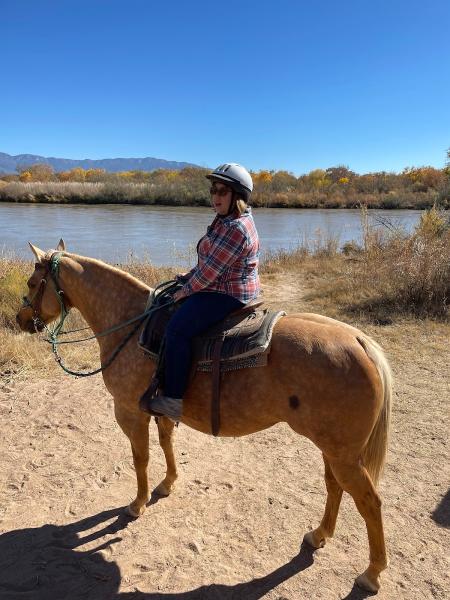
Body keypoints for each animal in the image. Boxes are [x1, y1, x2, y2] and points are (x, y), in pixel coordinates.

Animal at [15, 241, 392, 592]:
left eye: (33, 282)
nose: (21, 320)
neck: (132, 325)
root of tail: (359, 340)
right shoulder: (159, 409)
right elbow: (166, 442)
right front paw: (167, 484)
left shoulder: (128, 411)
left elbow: (140, 458)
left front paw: (137, 504)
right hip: (333, 450)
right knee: (334, 486)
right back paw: (319, 534)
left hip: (344, 456)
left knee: (370, 502)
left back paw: (372, 574)